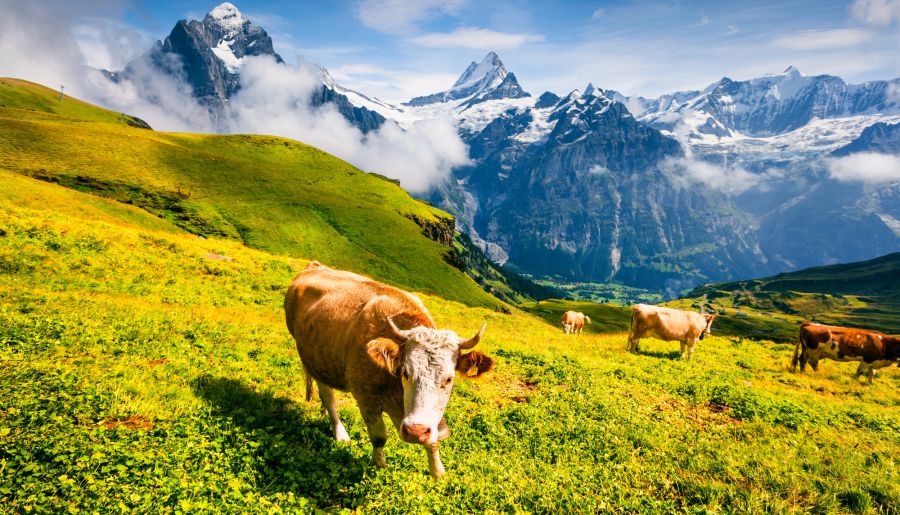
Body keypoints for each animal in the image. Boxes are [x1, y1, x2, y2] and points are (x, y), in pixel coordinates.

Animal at [284, 262, 494, 478]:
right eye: (406, 372)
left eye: (449, 379)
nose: (416, 431)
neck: (396, 391)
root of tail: (315, 266)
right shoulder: (366, 397)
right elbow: (379, 436)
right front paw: (378, 466)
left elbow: (433, 441)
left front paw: (438, 474)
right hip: (313, 360)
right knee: (328, 396)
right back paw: (340, 432)